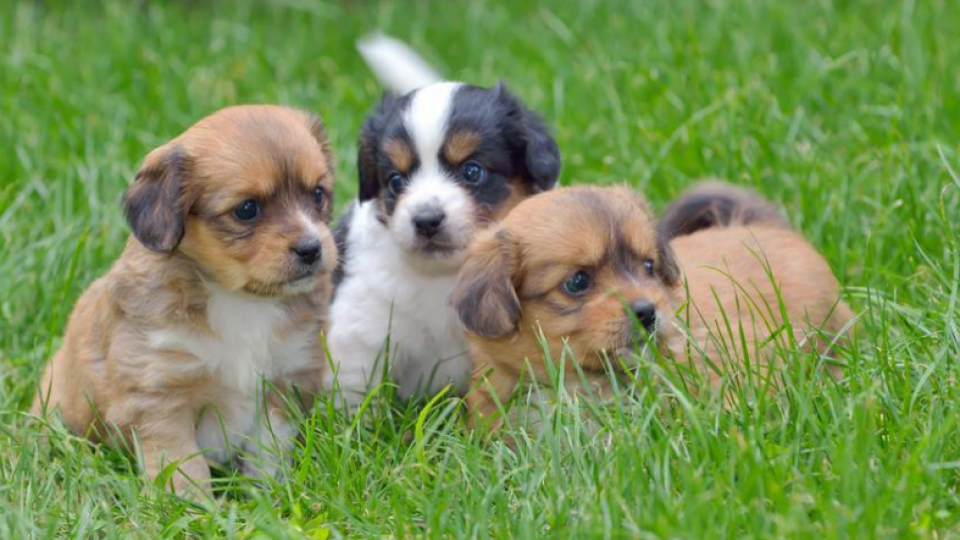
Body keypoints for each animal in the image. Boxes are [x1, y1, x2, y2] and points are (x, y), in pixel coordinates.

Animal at [31, 105, 338, 498]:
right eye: (247, 209)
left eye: (317, 194)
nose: (312, 248)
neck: (241, 301)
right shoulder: (160, 397)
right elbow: (182, 467)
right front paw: (194, 508)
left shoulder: (284, 384)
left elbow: (267, 453)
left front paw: (266, 496)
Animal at [326, 35, 561, 406]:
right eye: (395, 181)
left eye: (472, 171)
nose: (426, 221)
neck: (443, 275)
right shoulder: (361, 332)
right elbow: (356, 398)